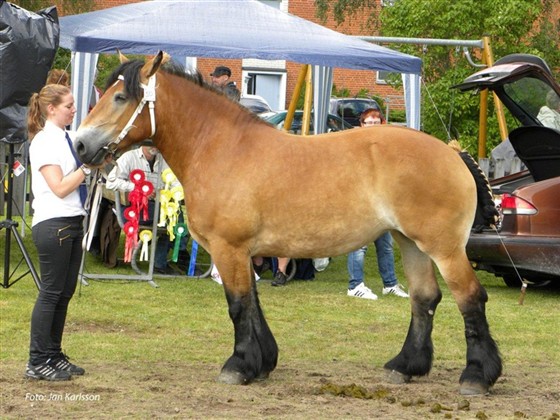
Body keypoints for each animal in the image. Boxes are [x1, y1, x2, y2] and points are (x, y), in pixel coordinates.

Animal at [75, 51, 504, 394]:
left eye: (120, 97)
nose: (79, 144)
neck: (221, 147)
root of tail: (452, 153)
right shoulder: (244, 252)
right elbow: (254, 304)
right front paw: (262, 362)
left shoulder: (229, 248)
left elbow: (238, 305)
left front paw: (238, 365)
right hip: (409, 242)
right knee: (424, 299)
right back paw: (405, 366)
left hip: (444, 249)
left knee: (470, 299)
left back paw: (477, 376)